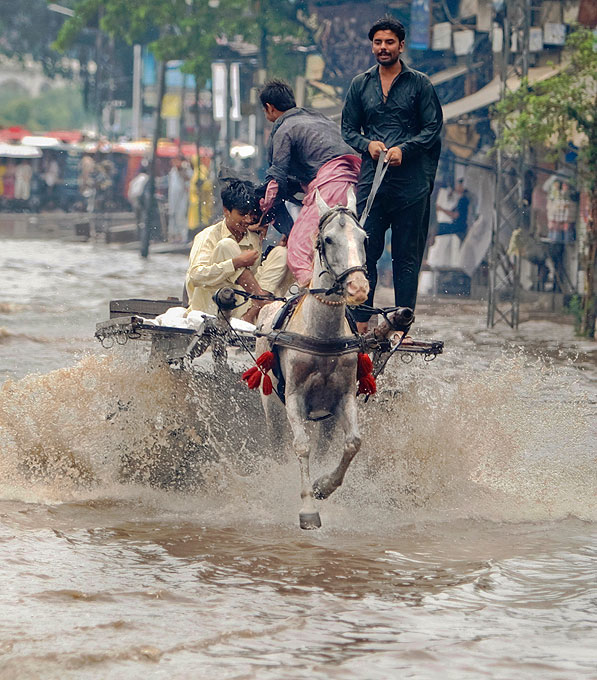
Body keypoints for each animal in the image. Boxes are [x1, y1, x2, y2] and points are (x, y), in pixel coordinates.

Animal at [255, 189, 368, 528]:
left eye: (364, 237)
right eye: (328, 239)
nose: (359, 288)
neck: (322, 336)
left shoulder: (344, 396)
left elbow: (353, 443)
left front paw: (323, 487)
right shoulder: (294, 397)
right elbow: (301, 446)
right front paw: (307, 507)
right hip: (270, 404)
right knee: (278, 444)